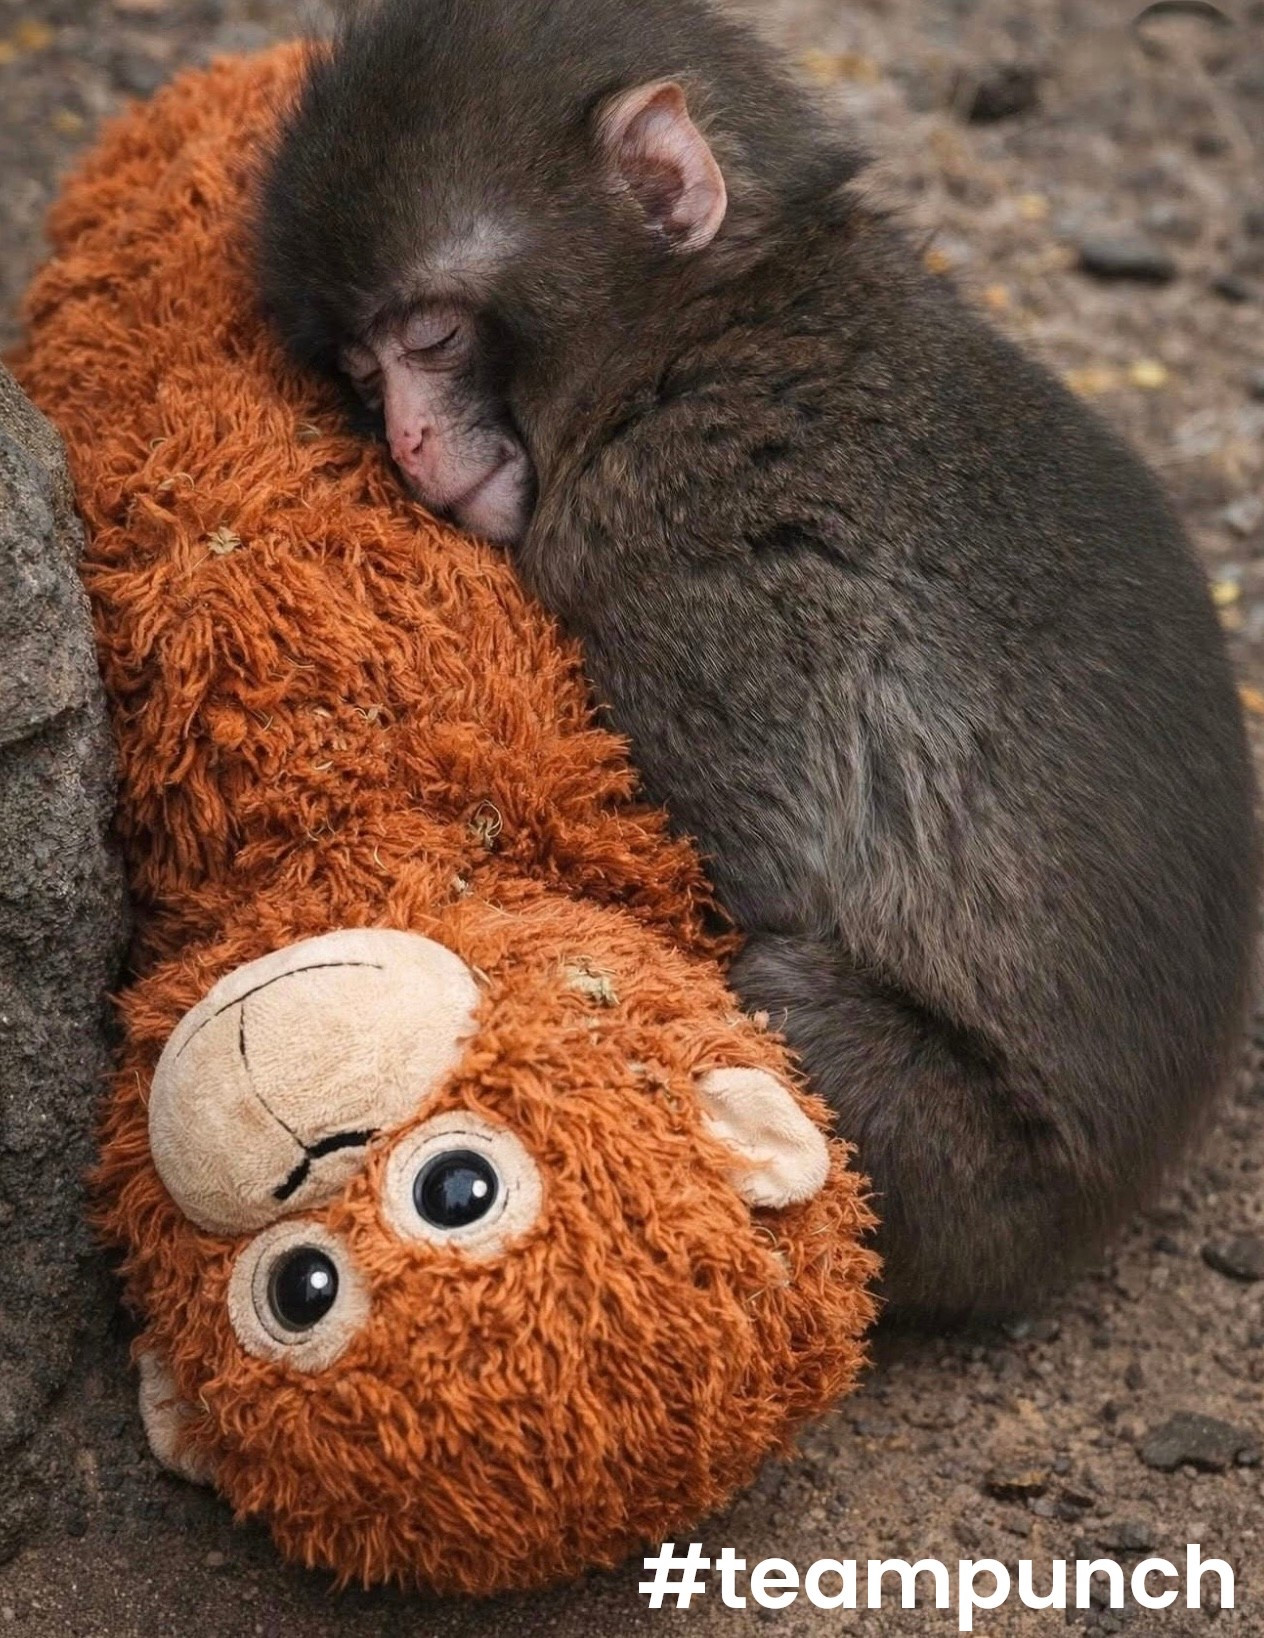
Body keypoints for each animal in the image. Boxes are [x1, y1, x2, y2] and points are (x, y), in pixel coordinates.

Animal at [256, 0, 1259, 1319]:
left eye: (429, 333)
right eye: (364, 373)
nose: (411, 442)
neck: (702, 329)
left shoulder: (679, 558)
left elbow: (753, 876)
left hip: (966, 1174)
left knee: (782, 997)